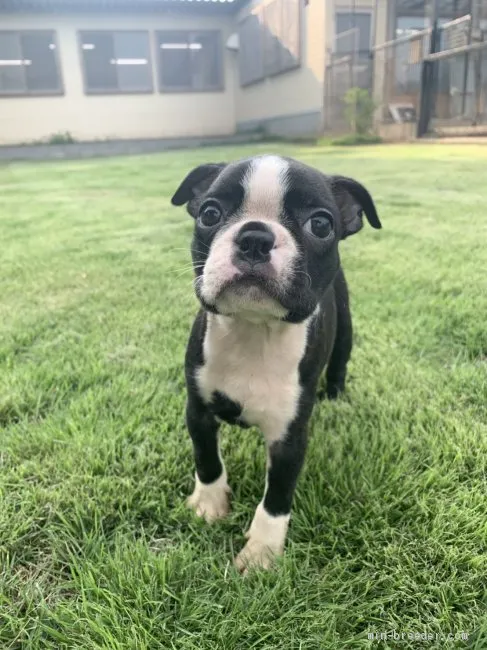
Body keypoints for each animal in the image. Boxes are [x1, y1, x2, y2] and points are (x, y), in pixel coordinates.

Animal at [172, 154, 382, 568]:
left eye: (320, 224)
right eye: (209, 213)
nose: (255, 237)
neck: (254, 331)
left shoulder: (290, 437)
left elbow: (278, 496)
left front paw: (262, 551)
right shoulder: (198, 409)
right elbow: (206, 460)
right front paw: (209, 504)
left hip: (346, 331)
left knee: (340, 364)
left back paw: (336, 396)